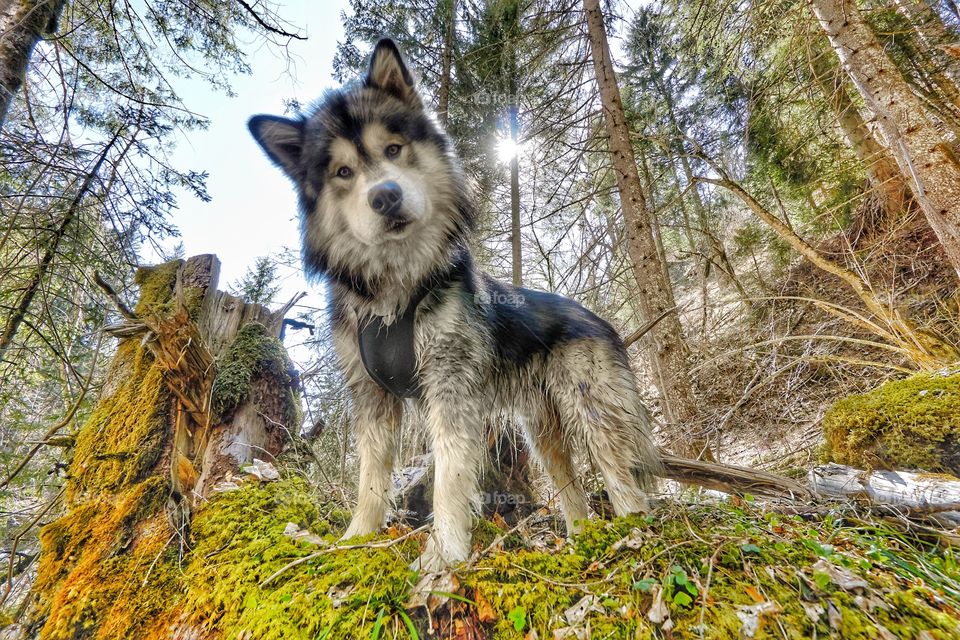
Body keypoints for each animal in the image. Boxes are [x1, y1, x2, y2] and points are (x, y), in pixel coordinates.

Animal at [248, 39, 661, 571]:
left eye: (393, 150)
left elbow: (448, 479)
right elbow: (370, 478)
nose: (385, 196)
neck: (397, 287)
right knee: (572, 491)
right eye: (342, 172)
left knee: (621, 478)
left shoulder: (451, 390)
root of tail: (597, 317)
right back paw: (582, 542)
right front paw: (356, 540)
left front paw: (444, 555)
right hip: (542, 432)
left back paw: (634, 535)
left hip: (592, 411)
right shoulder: (372, 398)